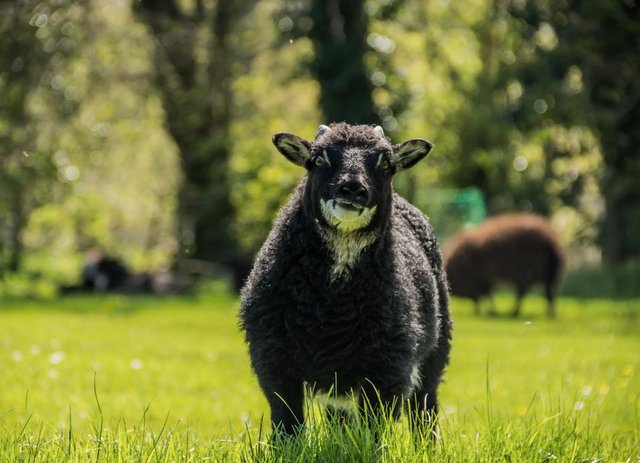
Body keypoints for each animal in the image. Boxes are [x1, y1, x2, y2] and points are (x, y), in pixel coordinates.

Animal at [238, 122, 452, 436]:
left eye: (386, 164)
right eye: (317, 160)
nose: (352, 189)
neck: (332, 307)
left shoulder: (389, 365)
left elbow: (372, 427)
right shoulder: (273, 357)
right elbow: (288, 421)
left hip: (436, 349)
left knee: (424, 409)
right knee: (340, 418)